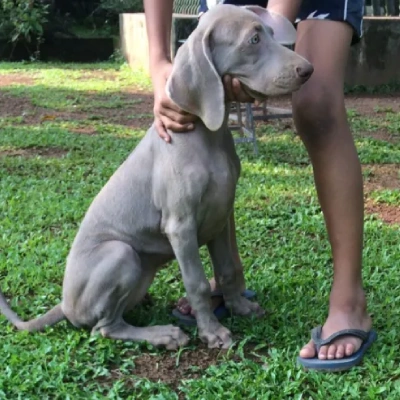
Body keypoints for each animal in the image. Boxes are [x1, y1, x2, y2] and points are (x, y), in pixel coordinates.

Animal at [0, 5, 312, 350]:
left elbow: (228, 268)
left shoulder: (222, 215)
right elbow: (197, 283)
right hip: (121, 254)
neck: (208, 135)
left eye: (270, 34)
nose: (308, 70)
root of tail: (65, 306)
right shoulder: (180, 225)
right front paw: (212, 331)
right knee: (104, 328)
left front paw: (239, 307)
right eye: (253, 40)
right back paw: (163, 333)